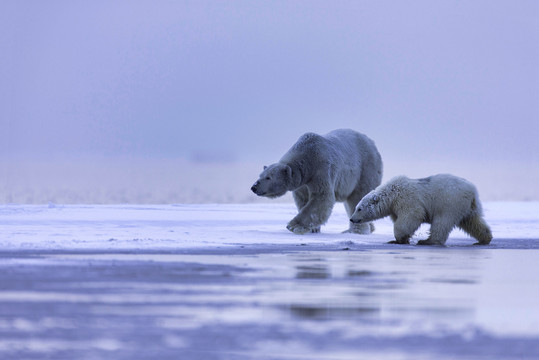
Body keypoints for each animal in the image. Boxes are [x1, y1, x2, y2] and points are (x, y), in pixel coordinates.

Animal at [250, 129, 382, 233]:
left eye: (268, 177)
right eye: (260, 175)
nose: (254, 187)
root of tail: (372, 143)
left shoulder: (320, 169)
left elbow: (321, 197)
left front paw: (294, 226)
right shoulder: (302, 183)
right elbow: (303, 200)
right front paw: (314, 229)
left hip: (365, 169)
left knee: (359, 196)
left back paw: (356, 230)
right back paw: (369, 228)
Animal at [350, 174, 494, 246]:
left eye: (359, 208)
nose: (351, 219)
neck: (392, 193)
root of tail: (472, 191)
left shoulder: (407, 199)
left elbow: (411, 216)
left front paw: (398, 239)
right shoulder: (394, 207)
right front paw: (403, 239)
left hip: (450, 202)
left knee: (442, 222)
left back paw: (427, 241)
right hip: (467, 207)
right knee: (473, 222)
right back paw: (484, 239)